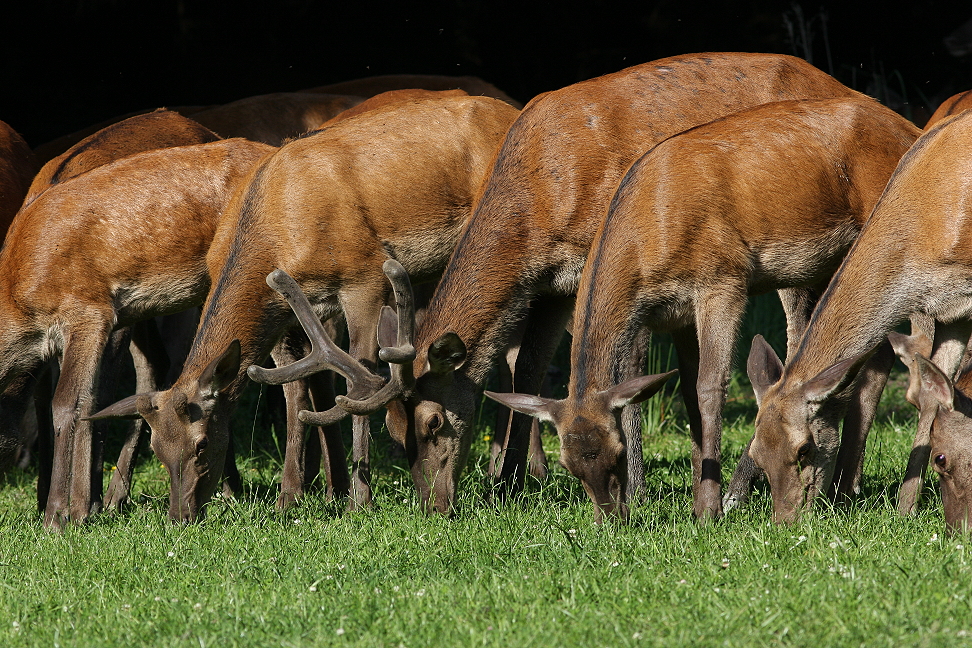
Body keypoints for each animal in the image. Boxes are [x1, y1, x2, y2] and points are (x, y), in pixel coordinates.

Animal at [87, 95, 520, 520]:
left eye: (202, 442)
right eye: (158, 450)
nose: (181, 515)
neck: (277, 232)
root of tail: (511, 109)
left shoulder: (365, 274)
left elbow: (357, 382)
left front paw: (358, 500)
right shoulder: (287, 309)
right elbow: (295, 392)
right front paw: (291, 497)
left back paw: (507, 476)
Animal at [286, 52, 864, 516]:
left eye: (433, 423)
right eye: (393, 431)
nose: (433, 506)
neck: (541, 200)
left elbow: (623, 374)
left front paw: (634, 486)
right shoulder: (549, 286)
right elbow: (528, 370)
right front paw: (507, 484)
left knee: (801, 337)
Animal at [482, 97, 924, 520]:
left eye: (618, 453)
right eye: (568, 466)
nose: (611, 518)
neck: (649, 238)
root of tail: (909, 128)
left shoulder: (723, 278)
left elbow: (710, 387)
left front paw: (710, 509)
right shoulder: (676, 312)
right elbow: (689, 397)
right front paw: (697, 498)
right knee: (872, 353)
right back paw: (844, 488)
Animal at [748, 110, 972, 528]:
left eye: (804, 449)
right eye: (756, 454)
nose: (786, 523)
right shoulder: (951, 311)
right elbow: (933, 392)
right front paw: (904, 508)